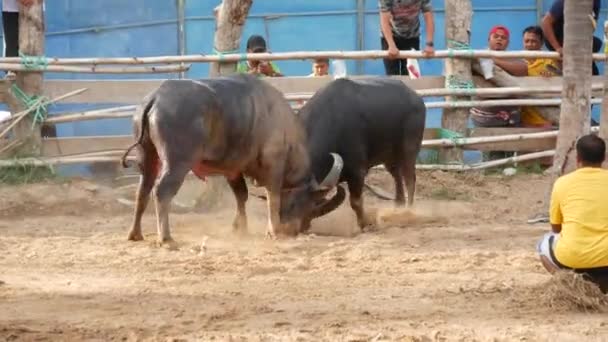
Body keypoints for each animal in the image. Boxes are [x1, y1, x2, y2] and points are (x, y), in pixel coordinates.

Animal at [120, 74, 344, 246]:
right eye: (311, 203)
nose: (296, 230)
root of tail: (156, 97)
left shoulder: (233, 170)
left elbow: (241, 196)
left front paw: (240, 228)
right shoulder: (273, 165)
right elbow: (273, 197)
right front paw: (273, 230)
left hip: (147, 156)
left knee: (143, 190)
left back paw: (135, 233)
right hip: (177, 162)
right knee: (162, 191)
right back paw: (166, 238)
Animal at [296, 77, 426, 232]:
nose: (299, 227)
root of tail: (417, 99)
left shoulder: (357, 172)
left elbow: (356, 202)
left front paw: (365, 224)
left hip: (409, 150)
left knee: (409, 179)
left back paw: (408, 212)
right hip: (389, 157)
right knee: (397, 176)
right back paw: (398, 207)